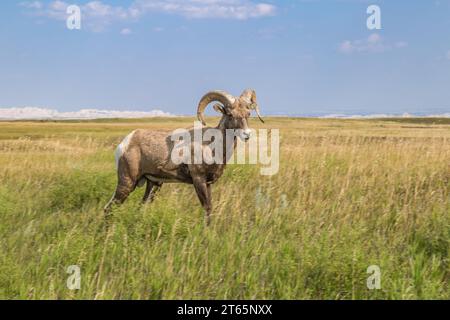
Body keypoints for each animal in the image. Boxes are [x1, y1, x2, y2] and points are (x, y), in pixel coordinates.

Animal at [104, 89, 264, 224]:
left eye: (248, 114)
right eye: (230, 114)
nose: (247, 134)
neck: (213, 146)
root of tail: (125, 143)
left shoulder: (208, 184)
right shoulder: (198, 180)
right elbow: (207, 208)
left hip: (153, 184)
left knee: (141, 206)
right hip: (127, 183)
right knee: (109, 208)